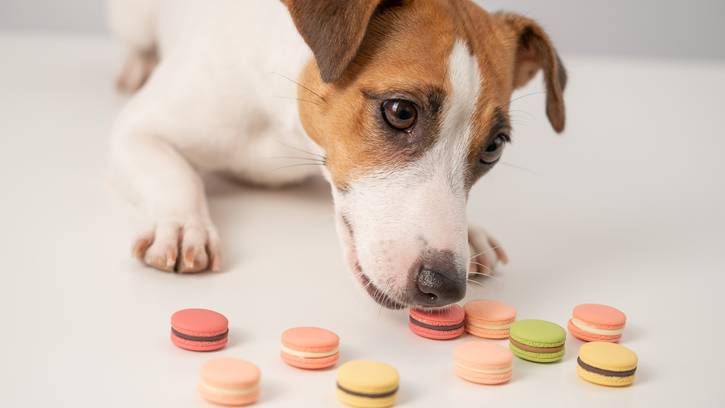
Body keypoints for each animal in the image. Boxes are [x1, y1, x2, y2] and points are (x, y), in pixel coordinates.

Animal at [107, 0, 564, 310]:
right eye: (401, 111)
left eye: (493, 146)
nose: (446, 286)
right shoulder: (136, 131)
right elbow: (175, 174)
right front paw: (183, 225)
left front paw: (472, 231)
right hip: (133, 18)